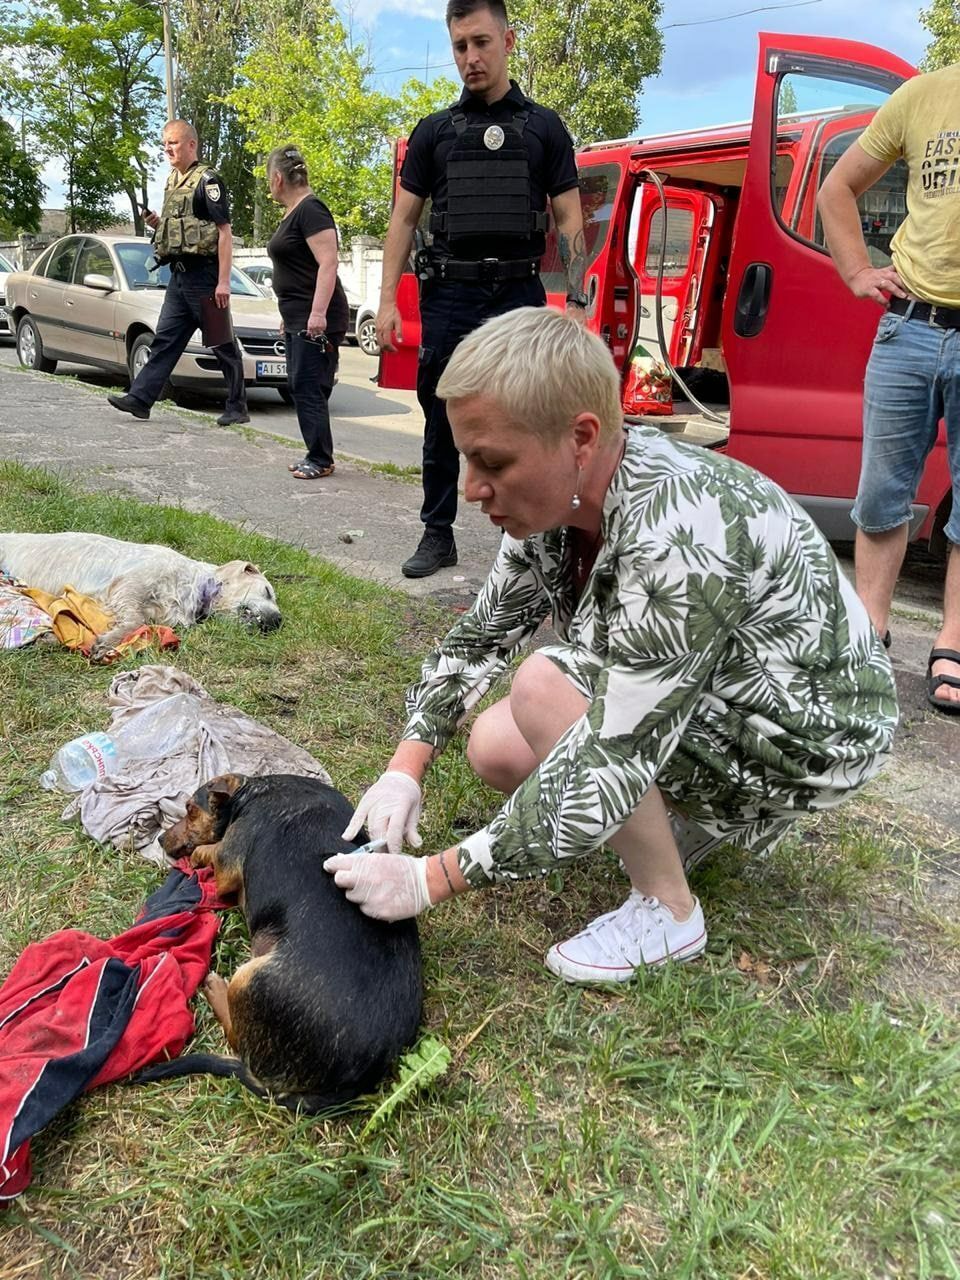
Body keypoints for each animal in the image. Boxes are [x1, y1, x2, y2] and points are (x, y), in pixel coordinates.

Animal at [0, 529, 281, 655]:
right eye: (268, 591)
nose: (278, 621)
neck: (197, 584)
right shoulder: (130, 585)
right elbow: (135, 619)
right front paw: (108, 641)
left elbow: (142, 620)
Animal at [136, 768, 422, 1111]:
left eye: (191, 810)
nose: (160, 839)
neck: (252, 791)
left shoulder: (227, 864)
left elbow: (210, 852)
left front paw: (196, 855)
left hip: (248, 978)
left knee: (237, 1038)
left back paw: (215, 987)